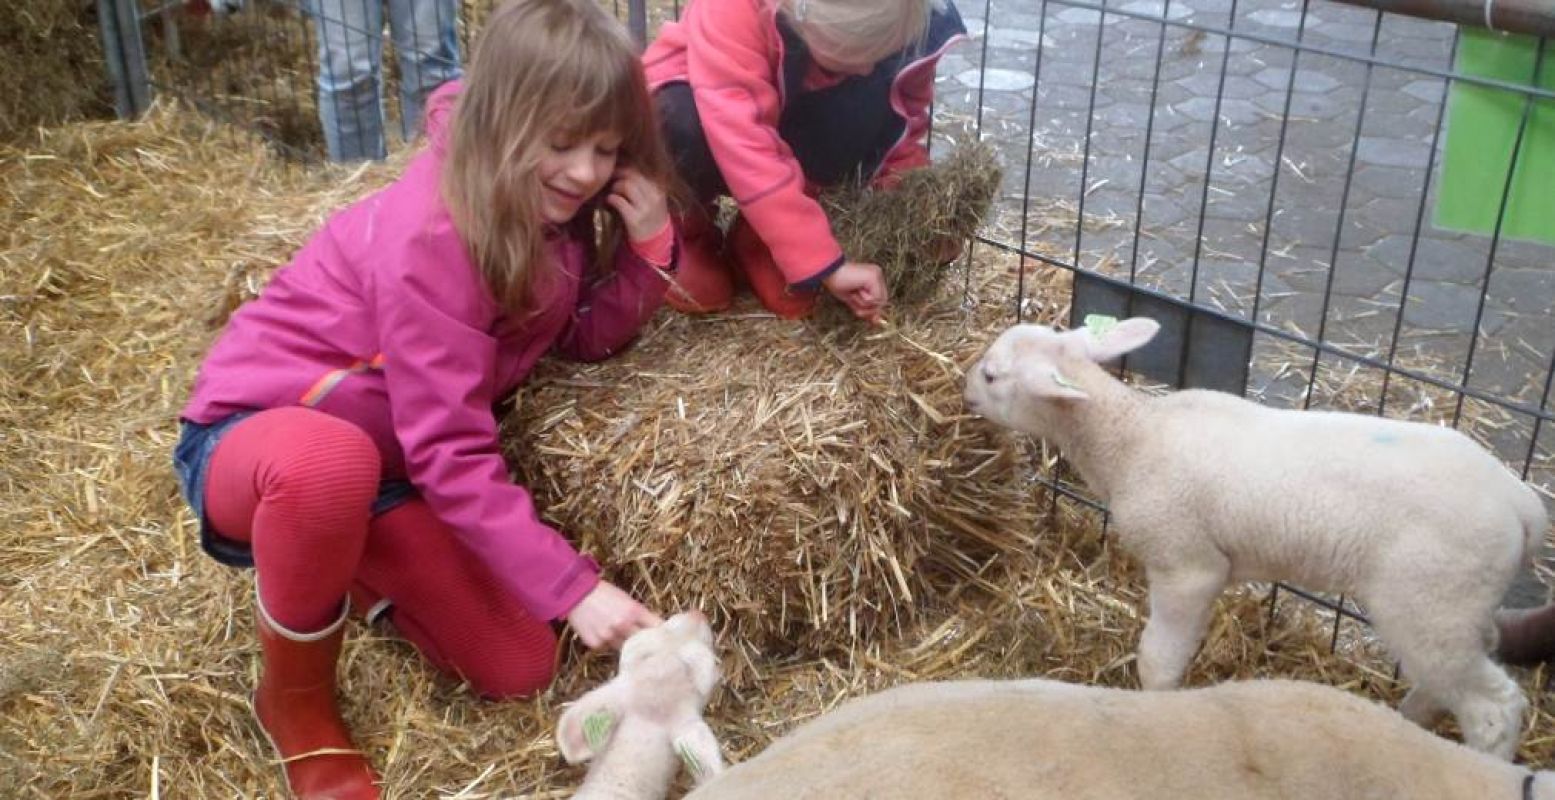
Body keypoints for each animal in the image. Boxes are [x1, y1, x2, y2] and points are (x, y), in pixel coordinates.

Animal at [957, 314, 1542, 756]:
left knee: (1493, 707)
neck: (1132, 437)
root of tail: (1523, 507)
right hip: (1461, 604)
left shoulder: (1186, 563)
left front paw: (1156, 706)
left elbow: (1158, 659)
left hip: (1428, 598)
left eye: (991, 376)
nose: (963, 390)